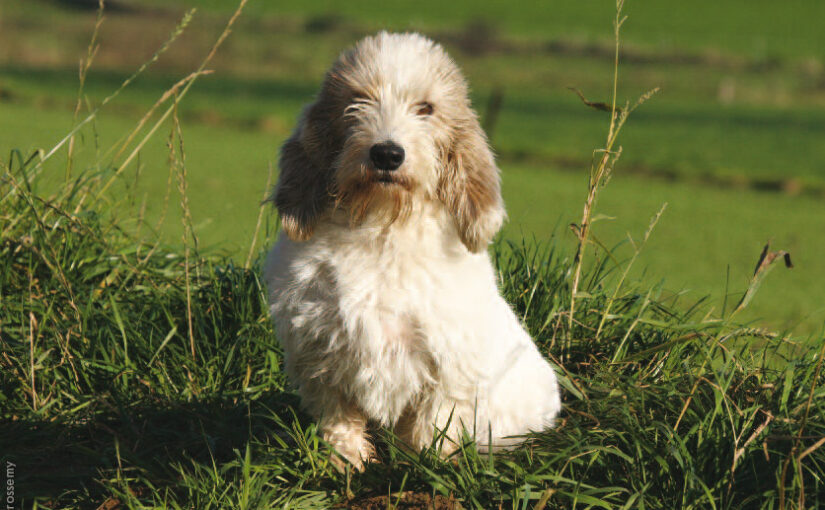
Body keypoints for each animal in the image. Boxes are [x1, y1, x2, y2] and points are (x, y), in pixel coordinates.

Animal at [264, 30, 560, 470]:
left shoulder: (447, 362)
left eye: (426, 109)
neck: (381, 227)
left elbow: (432, 423)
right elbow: (338, 417)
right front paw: (346, 461)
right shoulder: (320, 353)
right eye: (357, 101)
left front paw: (425, 465)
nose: (387, 153)